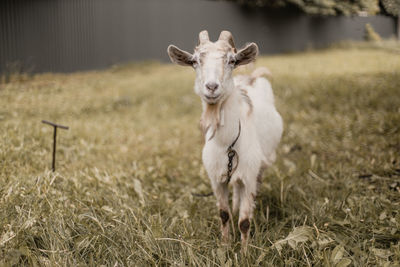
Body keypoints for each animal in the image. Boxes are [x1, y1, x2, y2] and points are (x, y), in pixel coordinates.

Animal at [167, 30, 282, 251]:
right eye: (195, 61)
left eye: (232, 60)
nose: (211, 87)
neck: (227, 144)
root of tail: (251, 78)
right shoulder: (216, 179)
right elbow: (224, 214)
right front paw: (225, 245)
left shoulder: (249, 175)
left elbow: (244, 222)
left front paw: (245, 252)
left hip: (262, 163)